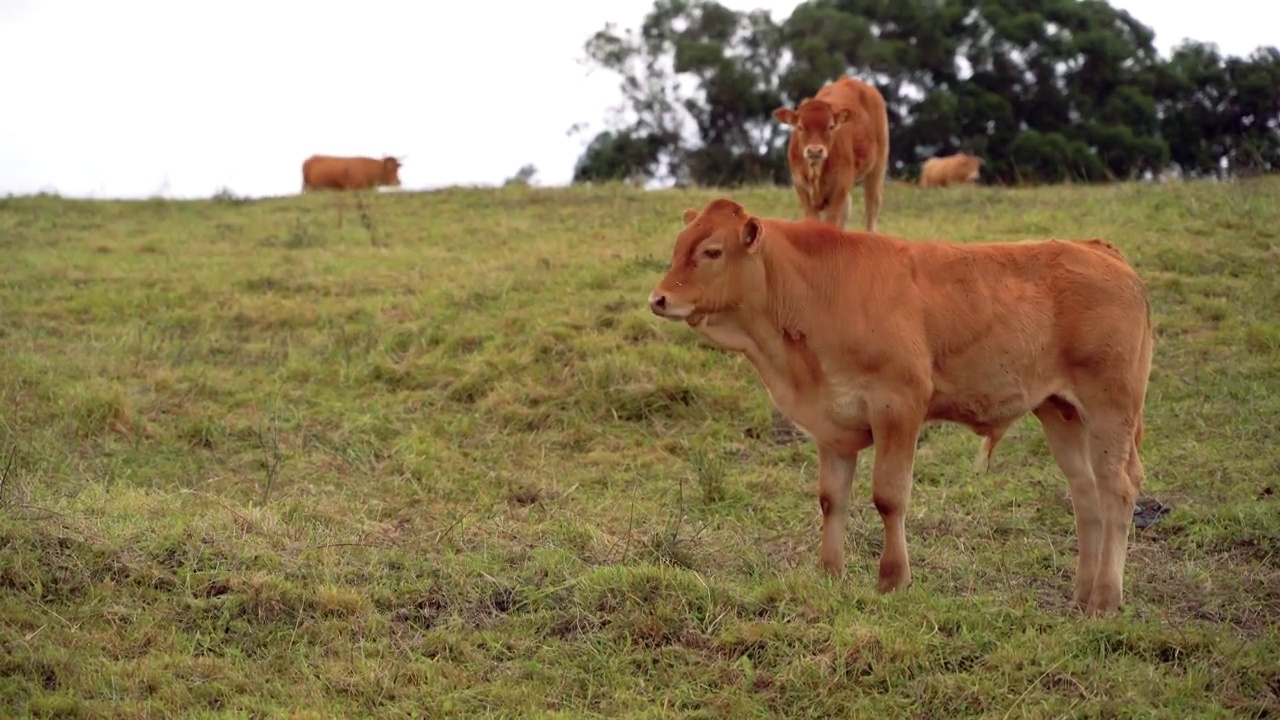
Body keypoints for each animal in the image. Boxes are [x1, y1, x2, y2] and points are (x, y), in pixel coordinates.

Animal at [645, 197, 1157, 617]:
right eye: (679, 245)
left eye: (712, 251)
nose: (659, 298)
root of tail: (1098, 250)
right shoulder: (832, 423)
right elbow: (832, 499)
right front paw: (830, 574)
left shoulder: (899, 406)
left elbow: (889, 497)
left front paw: (892, 579)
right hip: (1060, 411)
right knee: (1086, 492)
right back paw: (1082, 593)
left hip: (1110, 408)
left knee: (1117, 488)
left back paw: (1106, 598)